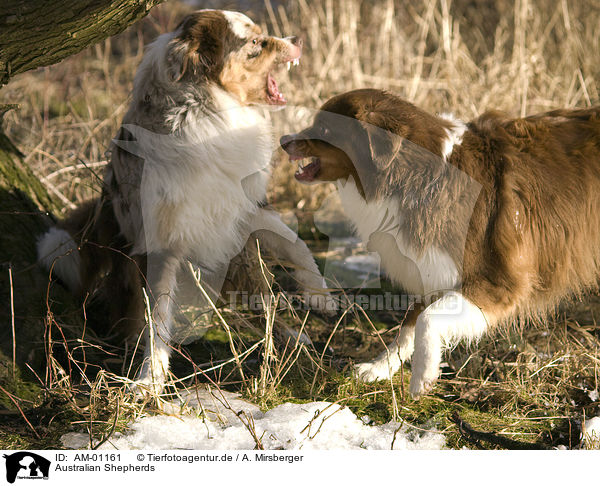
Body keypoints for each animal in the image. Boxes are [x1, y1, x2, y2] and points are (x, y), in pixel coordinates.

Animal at [38, 10, 332, 392]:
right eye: (255, 41)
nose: (298, 39)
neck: (207, 116)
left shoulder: (246, 207)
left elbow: (295, 243)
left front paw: (320, 294)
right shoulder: (162, 243)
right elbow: (157, 317)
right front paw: (149, 380)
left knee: (257, 296)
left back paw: (291, 336)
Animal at [282, 89, 600, 396]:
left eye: (324, 128)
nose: (284, 140)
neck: (413, 175)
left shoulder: (498, 283)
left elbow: (427, 319)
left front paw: (422, 375)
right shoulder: (433, 267)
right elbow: (409, 324)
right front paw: (381, 368)